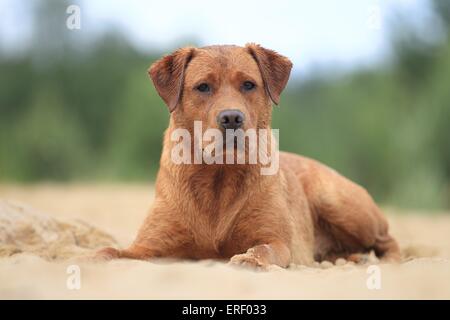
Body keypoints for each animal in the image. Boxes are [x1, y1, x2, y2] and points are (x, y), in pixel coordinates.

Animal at [96, 43, 400, 268]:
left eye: (248, 84)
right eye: (203, 86)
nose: (232, 118)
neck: (218, 178)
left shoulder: (276, 239)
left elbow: (263, 249)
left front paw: (248, 260)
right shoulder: (149, 245)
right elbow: (109, 251)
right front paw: (94, 257)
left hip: (339, 202)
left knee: (387, 239)